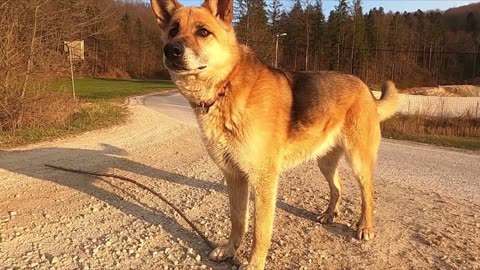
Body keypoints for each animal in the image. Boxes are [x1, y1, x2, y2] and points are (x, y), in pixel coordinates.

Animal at [152, 0, 400, 268]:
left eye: (203, 32)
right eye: (173, 30)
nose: (171, 50)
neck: (226, 88)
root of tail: (366, 88)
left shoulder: (263, 180)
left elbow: (260, 230)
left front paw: (254, 263)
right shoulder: (234, 176)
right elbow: (237, 220)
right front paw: (230, 250)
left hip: (358, 160)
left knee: (368, 193)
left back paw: (365, 226)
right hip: (324, 160)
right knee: (337, 186)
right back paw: (329, 214)